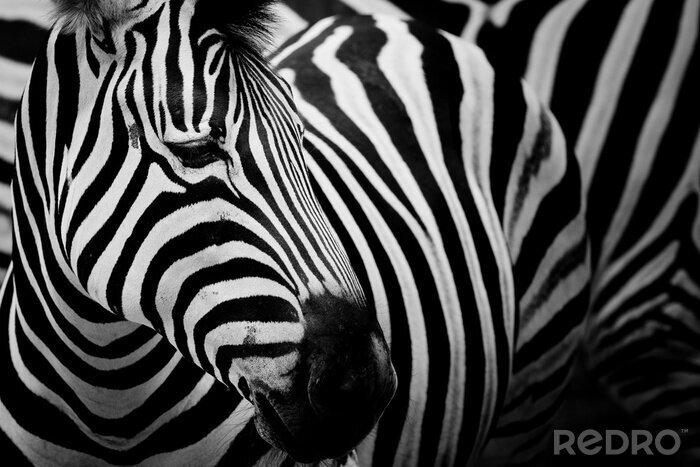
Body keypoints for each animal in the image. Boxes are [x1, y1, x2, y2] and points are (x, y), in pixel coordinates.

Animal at [0, 0, 590, 465]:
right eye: (196, 150)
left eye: (301, 141)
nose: (364, 389)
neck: (109, 394)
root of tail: (400, 24)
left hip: (532, 393)